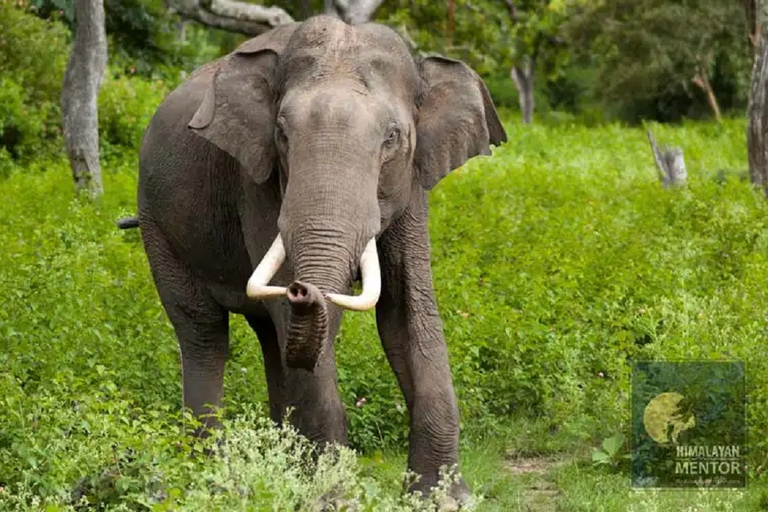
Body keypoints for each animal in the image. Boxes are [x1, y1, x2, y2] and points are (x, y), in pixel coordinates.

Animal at [135, 15, 508, 500]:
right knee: (204, 332)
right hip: (156, 223)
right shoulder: (256, 180)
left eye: (392, 138)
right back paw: (209, 474)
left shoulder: (413, 184)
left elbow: (408, 312)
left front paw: (443, 498)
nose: (301, 289)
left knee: (270, 338)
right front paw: (332, 495)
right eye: (281, 134)